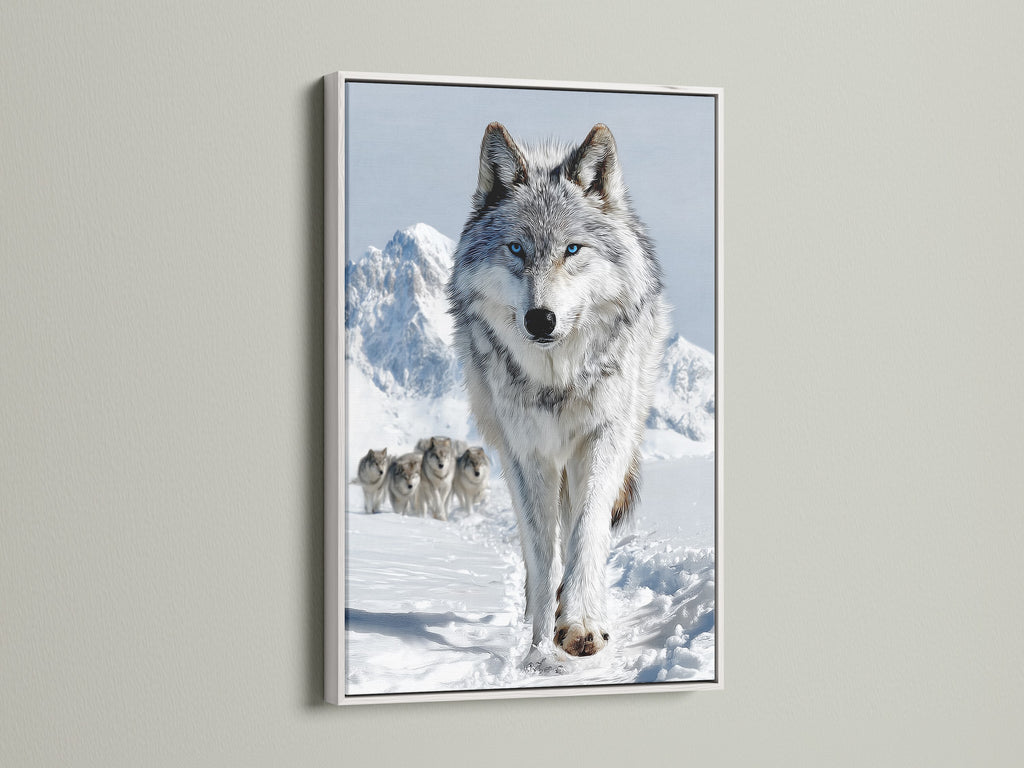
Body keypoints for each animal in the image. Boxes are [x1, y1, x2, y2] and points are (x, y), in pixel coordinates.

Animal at [447, 122, 669, 658]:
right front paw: (538, 645)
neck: (558, 380)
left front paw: (583, 621)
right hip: (506, 447)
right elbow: (541, 552)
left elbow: (586, 532)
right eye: (516, 249)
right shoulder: (528, 453)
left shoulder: (604, 437)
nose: (540, 319)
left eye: (572, 250)